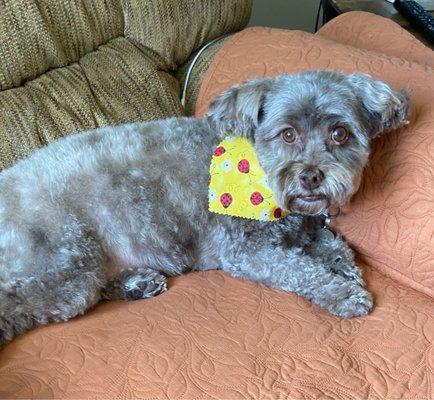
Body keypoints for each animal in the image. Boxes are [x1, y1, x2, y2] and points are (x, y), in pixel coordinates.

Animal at [0, 71, 410, 344]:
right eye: (287, 133)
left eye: (339, 134)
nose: (312, 177)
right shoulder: (244, 251)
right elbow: (301, 269)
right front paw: (342, 293)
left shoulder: (305, 228)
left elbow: (334, 244)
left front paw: (344, 266)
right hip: (67, 259)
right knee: (26, 304)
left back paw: (137, 283)